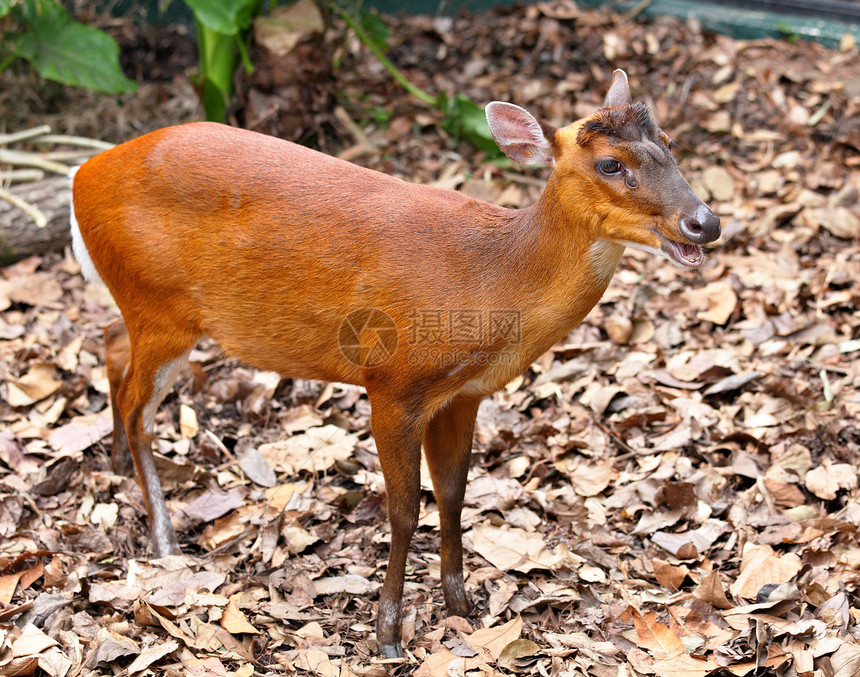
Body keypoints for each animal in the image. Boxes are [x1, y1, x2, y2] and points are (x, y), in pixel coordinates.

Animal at [72, 70, 720, 656]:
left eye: (670, 144)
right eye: (610, 164)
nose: (705, 222)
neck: (488, 282)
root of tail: (83, 174)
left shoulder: (463, 394)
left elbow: (455, 494)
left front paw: (462, 605)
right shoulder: (391, 384)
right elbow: (405, 511)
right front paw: (387, 634)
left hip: (148, 308)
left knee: (109, 341)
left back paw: (116, 467)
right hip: (160, 303)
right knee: (137, 406)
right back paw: (163, 540)